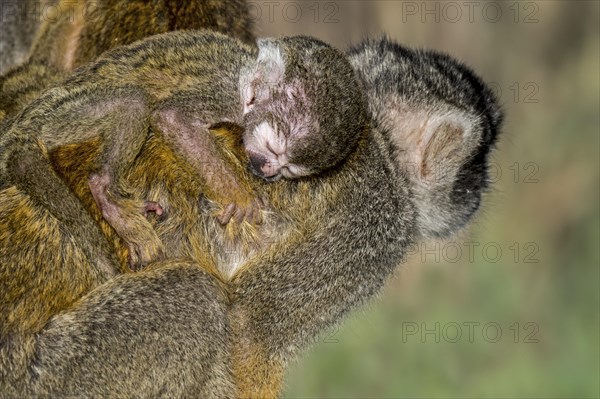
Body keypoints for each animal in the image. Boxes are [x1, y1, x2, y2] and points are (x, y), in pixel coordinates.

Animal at [0, 30, 366, 268]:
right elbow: (172, 117)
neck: (244, 75)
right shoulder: (224, 93)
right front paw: (240, 196)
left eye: (287, 169)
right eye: (274, 152)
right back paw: (104, 190)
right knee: (134, 101)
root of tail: (22, 125)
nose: (267, 170)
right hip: (60, 120)